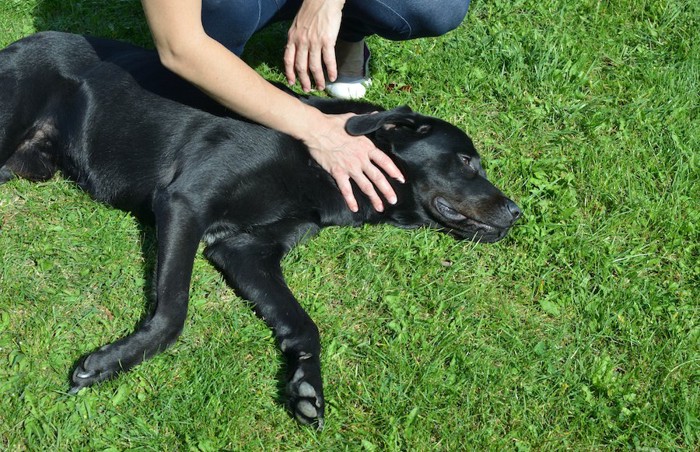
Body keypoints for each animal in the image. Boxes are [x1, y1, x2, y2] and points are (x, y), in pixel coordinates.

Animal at [0, 30, 520, 428]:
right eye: (466, 161)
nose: (516, 212)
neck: (316, 164)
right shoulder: (185, 202)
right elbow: (173, 311)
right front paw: (110, 362)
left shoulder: (244, 251)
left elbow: (303, 324)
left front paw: (307, 386)